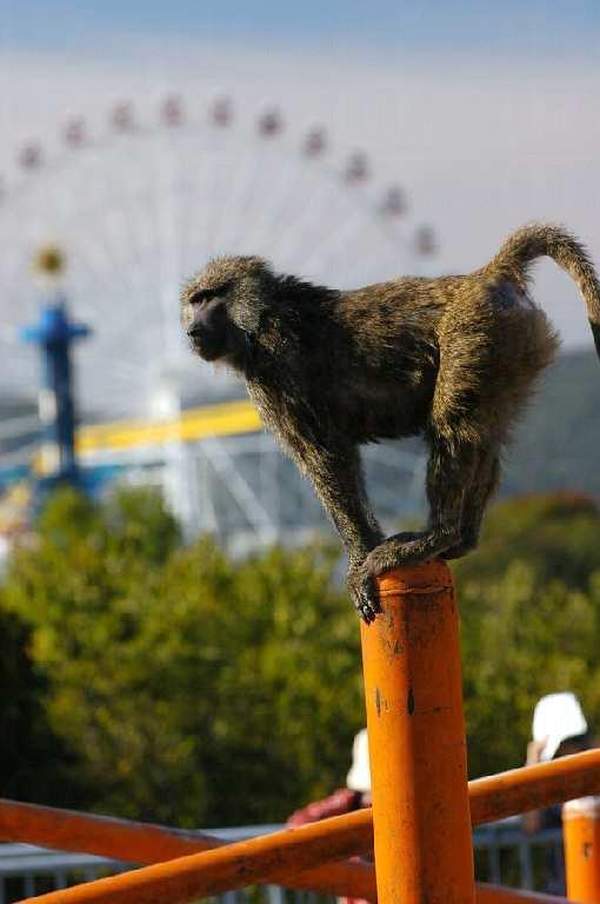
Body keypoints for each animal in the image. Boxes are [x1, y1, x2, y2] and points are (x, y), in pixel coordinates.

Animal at [181, 224, 600, 623]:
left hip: (477, 336)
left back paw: (435, 537)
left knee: (452, 426)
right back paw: (463, 540)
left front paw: (360, 562)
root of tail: (487, 275)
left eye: (211, 297)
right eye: (194, 301)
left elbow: (326, 458)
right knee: (485, 435)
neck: (263, 315)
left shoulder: (280, 358)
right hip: (512, 353)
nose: (192, 329)